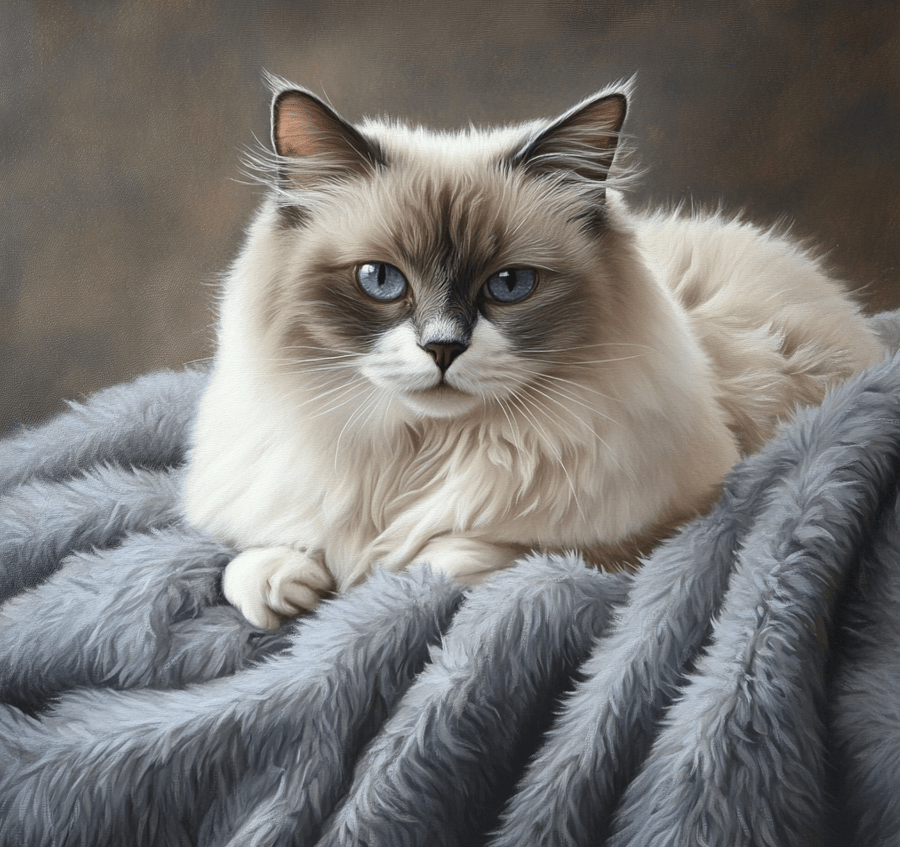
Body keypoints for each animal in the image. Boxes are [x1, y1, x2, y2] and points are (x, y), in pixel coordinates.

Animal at [179, 78, 884, 628]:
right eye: (381, 281)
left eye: (509, 285)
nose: (442, 347)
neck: (420, 453)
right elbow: (250, 560)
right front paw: (289, 582)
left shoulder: (666, 529)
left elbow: (460, 555)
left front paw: (383, 574)